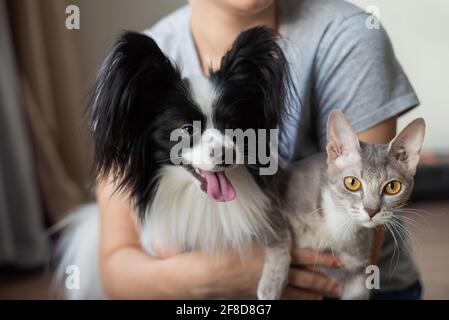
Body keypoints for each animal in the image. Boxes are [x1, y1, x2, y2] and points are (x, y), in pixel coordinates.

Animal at [258, 110, 426, 300]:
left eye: (393, 187)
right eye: (352, 183)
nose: (371, 210)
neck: (337, 223)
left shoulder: (358, 271)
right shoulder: (268, 201)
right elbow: (279, 238)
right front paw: (271, 285)